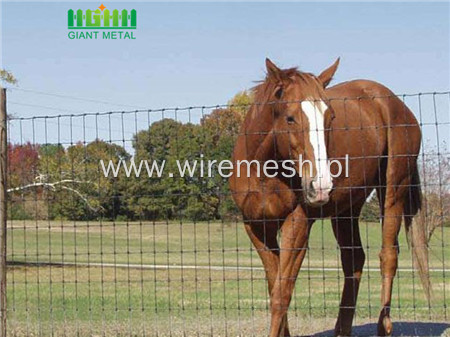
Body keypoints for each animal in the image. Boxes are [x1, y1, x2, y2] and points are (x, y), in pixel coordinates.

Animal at [229, 58, 428, 336]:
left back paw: (384, 326)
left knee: (388, 256)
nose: (320, 185)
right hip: (346, 210)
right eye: (290, 118)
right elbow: (274, 285)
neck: (264, 170)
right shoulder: (257, 228)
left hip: (392, 192)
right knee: (354, 260)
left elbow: (282, 294)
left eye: (330, 116)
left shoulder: (298, 225)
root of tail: (397, 105)